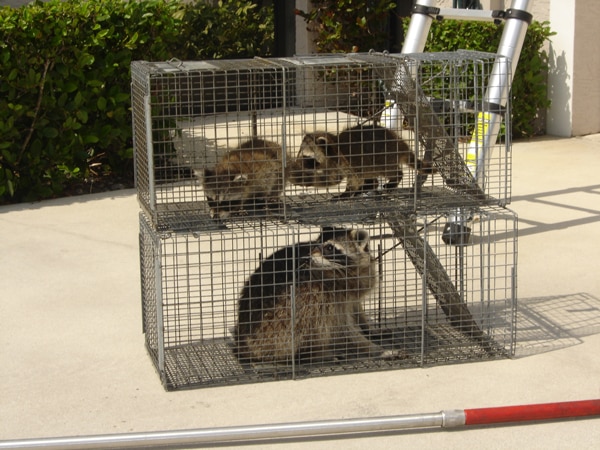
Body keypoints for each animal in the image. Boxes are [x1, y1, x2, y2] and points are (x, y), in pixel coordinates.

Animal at [232, 227, 392, 364]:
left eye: (329, 248)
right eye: (315, 245)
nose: (306, 259)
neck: (345, 271)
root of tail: (243, 344)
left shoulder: (356, 286)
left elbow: (356, 308)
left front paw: (368, 328)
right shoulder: (331, 292)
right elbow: (343, 328)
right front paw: (372, 348)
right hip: (277, 321)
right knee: (316, 314)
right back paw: (315, 355)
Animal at [288, 123, 434, 195]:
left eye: (306, 155)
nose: (298, 162)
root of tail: (400, 143)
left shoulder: (348, 160)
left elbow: (355, 179)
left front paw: (346, 193)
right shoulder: (332, 164)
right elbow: (331, 179)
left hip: (384, 157)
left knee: (389, 171)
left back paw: (394, 178)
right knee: (372, 177)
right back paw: (369, 186)